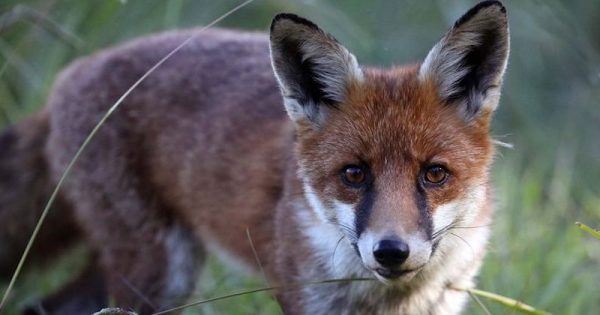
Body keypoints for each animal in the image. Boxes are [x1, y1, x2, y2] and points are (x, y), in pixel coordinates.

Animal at [0, 1, 510, 314]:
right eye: (353, 174)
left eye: (435, 174)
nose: (390, 250)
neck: (387, 298)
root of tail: (69, 75)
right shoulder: (299, 296)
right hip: (158, 272)